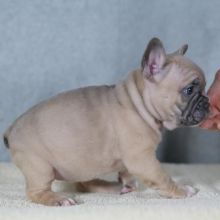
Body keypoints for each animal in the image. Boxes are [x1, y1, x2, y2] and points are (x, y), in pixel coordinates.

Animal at [3, 38, 210, 206]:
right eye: (189, 90)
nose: (207, 102)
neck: (139, 104)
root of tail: (10, 131)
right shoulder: (142, 159)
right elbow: (163, 177)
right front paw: (183, 190)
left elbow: (127, 173)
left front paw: (128, 183)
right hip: (40, 167)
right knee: (36, 192)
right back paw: (59, 199)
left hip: (80, 163)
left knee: (83, 184)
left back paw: (111, 187)